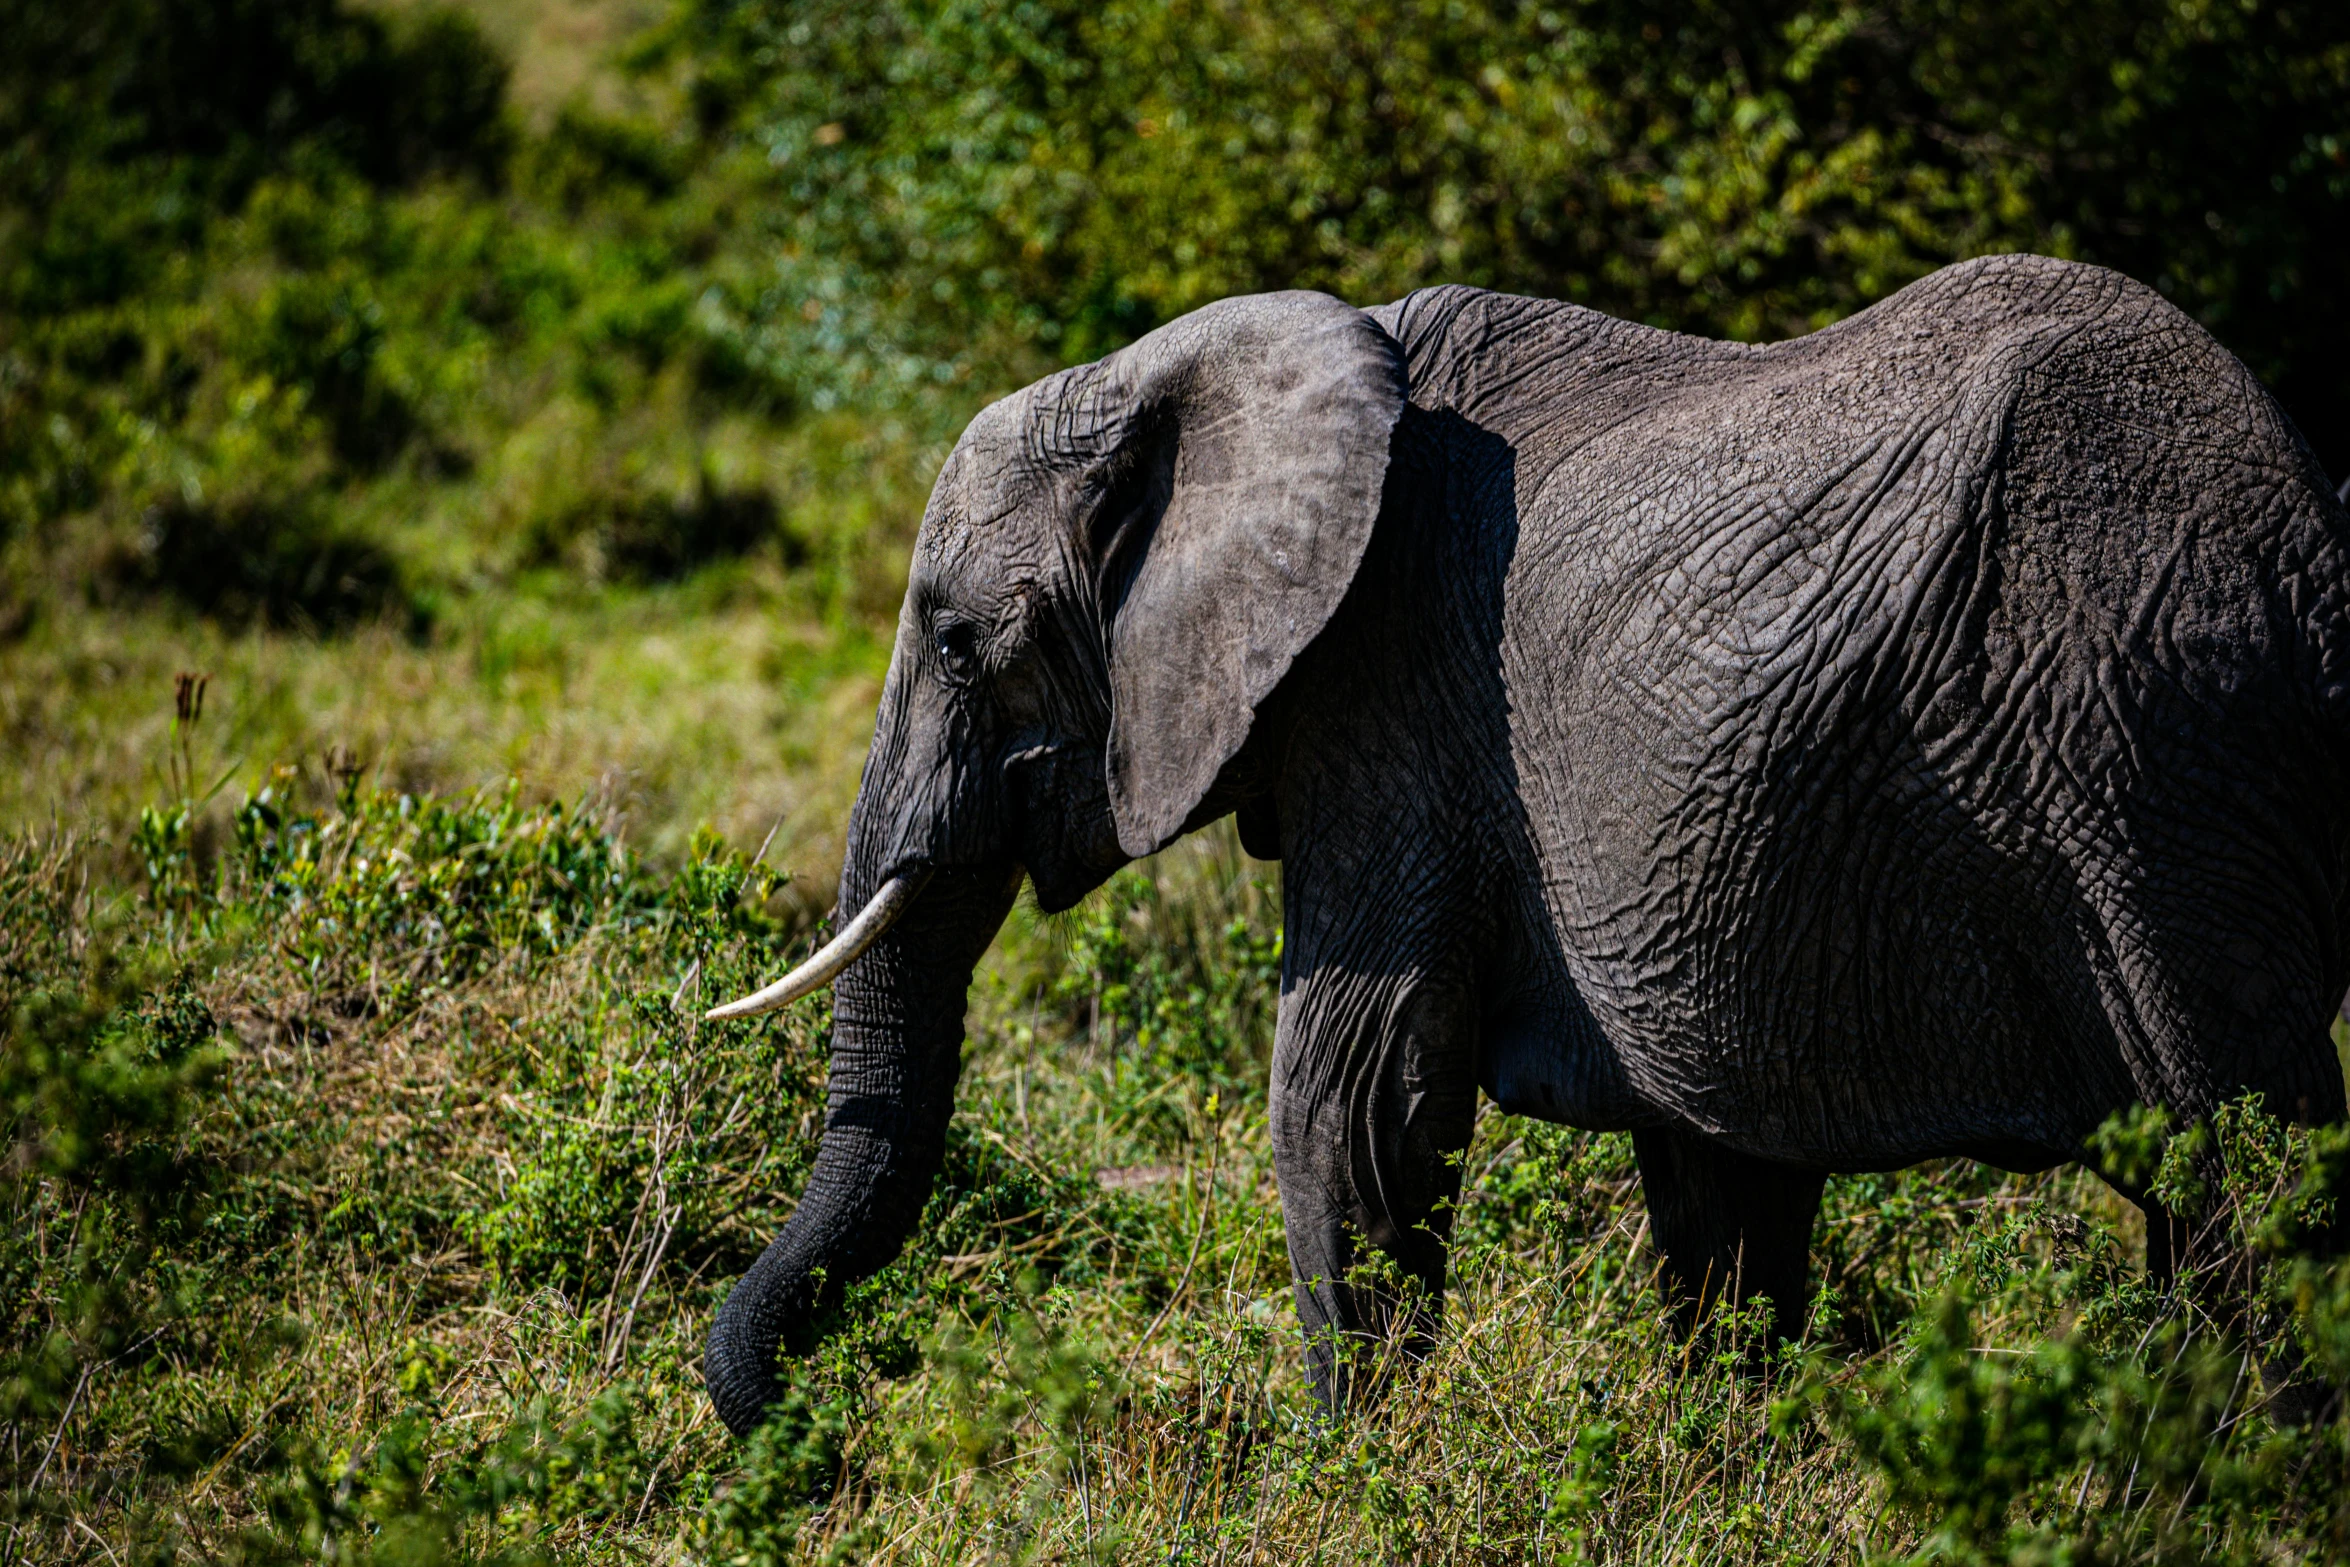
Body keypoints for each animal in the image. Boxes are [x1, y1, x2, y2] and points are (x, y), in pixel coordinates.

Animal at [690, 254, 2350, 1437]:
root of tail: (2307, 546)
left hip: (2143, 749)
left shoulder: (1393, 702)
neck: (1196, 371)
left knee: (2244, 1168)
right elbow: (1712, 1170)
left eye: (955, 640)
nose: (818, 1425)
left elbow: (1348, 1089)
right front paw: (1720, 1471)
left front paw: (1352, 1481)